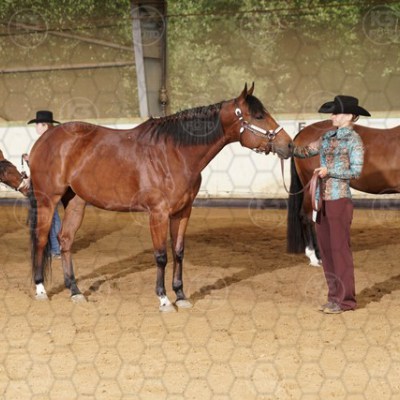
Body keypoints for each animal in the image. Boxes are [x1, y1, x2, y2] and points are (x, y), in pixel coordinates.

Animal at [28, 83, 294, 311]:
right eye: (258, 116)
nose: (289, 145)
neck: (174, 153)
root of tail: (44, 139)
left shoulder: (182, 212)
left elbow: (178, 252)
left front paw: (181, 295)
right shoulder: (158, 213)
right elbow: (161, 256)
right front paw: (164, 299)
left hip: (76, 202)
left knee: (65, 240)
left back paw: (74, 290)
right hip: (48, 200)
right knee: (41, 239)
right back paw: (40, 288)